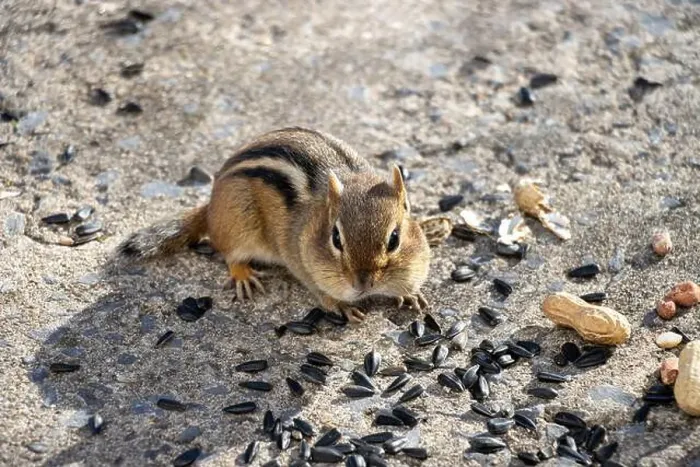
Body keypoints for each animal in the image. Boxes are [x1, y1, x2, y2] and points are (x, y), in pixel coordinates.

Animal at [117, 127, 431, 322]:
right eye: (336, 239)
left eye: (394, 239)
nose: (362, 285)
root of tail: (211, 206)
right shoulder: (301, 261)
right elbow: (319, 290)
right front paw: (342, 306)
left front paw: (411, 294)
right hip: (239, 226)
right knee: (230, 253)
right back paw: (243, 275)